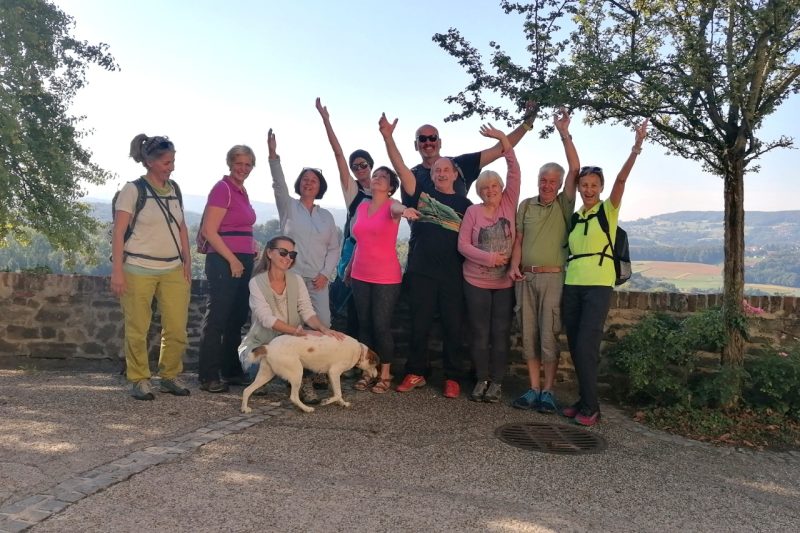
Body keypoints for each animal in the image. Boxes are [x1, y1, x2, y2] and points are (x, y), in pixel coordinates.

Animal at [239, 334, 380, 414]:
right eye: (375, 365)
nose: (376, 376)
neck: (359, 351)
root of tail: (269, 347)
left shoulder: (332, 375)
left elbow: (338, 394)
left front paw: (342, 403)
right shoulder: (334, 372)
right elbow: (338, 393)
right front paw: (326, 401)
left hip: (266, 375)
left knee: (247, 390)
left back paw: (245, 408)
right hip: (297, 372)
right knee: (293, 397)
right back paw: (306, 409)